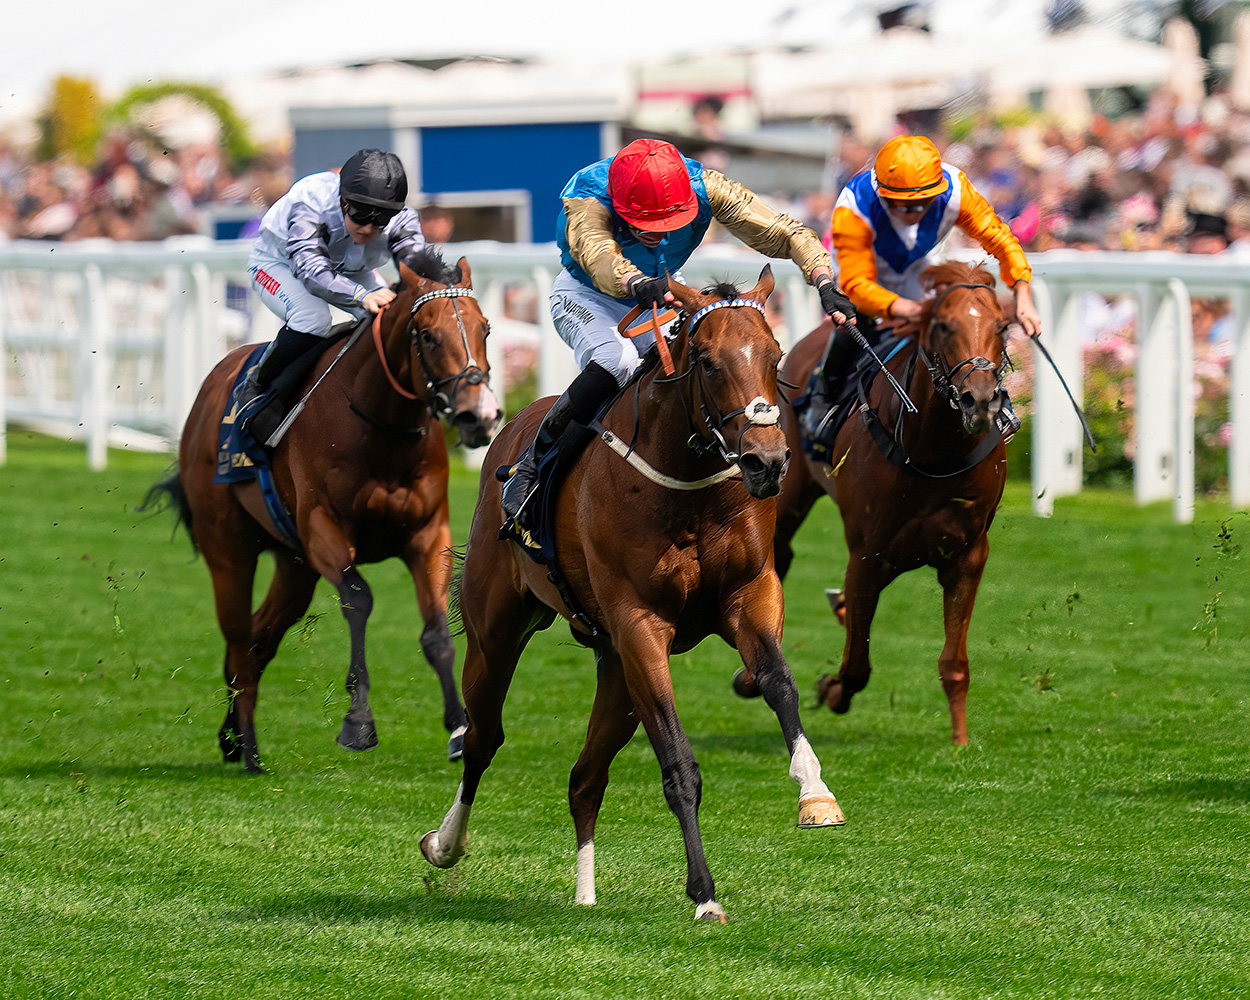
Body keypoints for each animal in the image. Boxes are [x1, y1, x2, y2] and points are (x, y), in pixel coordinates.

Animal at [153, 247, 505, 775]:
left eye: (485, 328)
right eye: (427, 334)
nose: (478, 415)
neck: (379, 426)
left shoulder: (427, 535)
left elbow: (437, 632)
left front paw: (461, 727)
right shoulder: (324, 529)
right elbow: (359, 600)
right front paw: (358, 722)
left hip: (294, 566)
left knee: (258, 639)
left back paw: (232, 737)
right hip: (230, 549)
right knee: (237, 639)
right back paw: (250, 748)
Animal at [422, 265, 850, 920]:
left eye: (776, 354)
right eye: (707, 362)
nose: (768, 460)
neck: (690, 483)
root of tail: (516, 423)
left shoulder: (749, 596)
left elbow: (779, 683)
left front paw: (815, 793)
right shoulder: (640, 625)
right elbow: (677, 763)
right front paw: (704, 894)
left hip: (617, 671)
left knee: (584, 778)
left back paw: (585, 893)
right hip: (498, 635)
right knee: (483, 738)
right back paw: (446, 844)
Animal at [745, 261, 1010, 745]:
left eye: (1002, 325)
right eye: (944, 325)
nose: (979, 400)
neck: (932, 454)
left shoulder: (967, 554)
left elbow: (954, 663)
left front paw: (960, 740)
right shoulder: (868, 556)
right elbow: (855, 666)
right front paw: (830, 689)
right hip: (786, 486)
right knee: (778, 553)